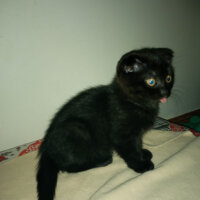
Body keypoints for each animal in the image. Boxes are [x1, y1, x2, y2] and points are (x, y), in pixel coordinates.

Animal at [36, 47, 174, 200]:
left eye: (168, 78)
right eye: (151, 81)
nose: (165, 92)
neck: (135, 103)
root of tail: (47, 149)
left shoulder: (136, 134)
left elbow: (137, 144)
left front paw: (143, 153)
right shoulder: (121, 135)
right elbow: (130, 151)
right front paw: (141, 165)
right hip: (76, 129)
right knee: (68, 166)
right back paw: (102, 160)